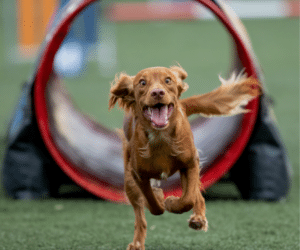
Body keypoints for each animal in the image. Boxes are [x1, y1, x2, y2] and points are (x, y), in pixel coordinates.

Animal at [109, 65, 262, 249]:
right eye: (142, 82)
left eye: (168, 80)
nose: (157, 92)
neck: (160, 137)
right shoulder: (138, 175)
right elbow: (153, 204)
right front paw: (159, 197)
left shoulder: (191, 163)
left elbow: (188, 199)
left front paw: (171, 203)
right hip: (129, 181)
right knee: (140, 216)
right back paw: (137, 243)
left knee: (197, 196)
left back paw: (198, 219)